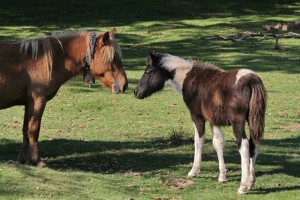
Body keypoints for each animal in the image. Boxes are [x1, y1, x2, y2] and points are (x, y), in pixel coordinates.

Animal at [0, 29, 127, 166]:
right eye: (114, 58)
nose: (124, 85)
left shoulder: (29, 103)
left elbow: (26, 130)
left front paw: (24, 159)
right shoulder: (38, 100)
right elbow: (34, 129)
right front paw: (36, 160)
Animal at [135, 52, 266, 195]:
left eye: (147, 72)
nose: (136, 92)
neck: (190, 80)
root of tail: (252, 80)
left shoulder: (197, 117)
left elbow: (198, 141)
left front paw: (194, 171)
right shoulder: (214, 120)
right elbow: (218, 143)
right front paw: (222, 176)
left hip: (238, 122)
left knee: (244, 145)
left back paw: (242, 186)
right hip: (254, 120)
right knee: (255, 144)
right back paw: (251, 183)